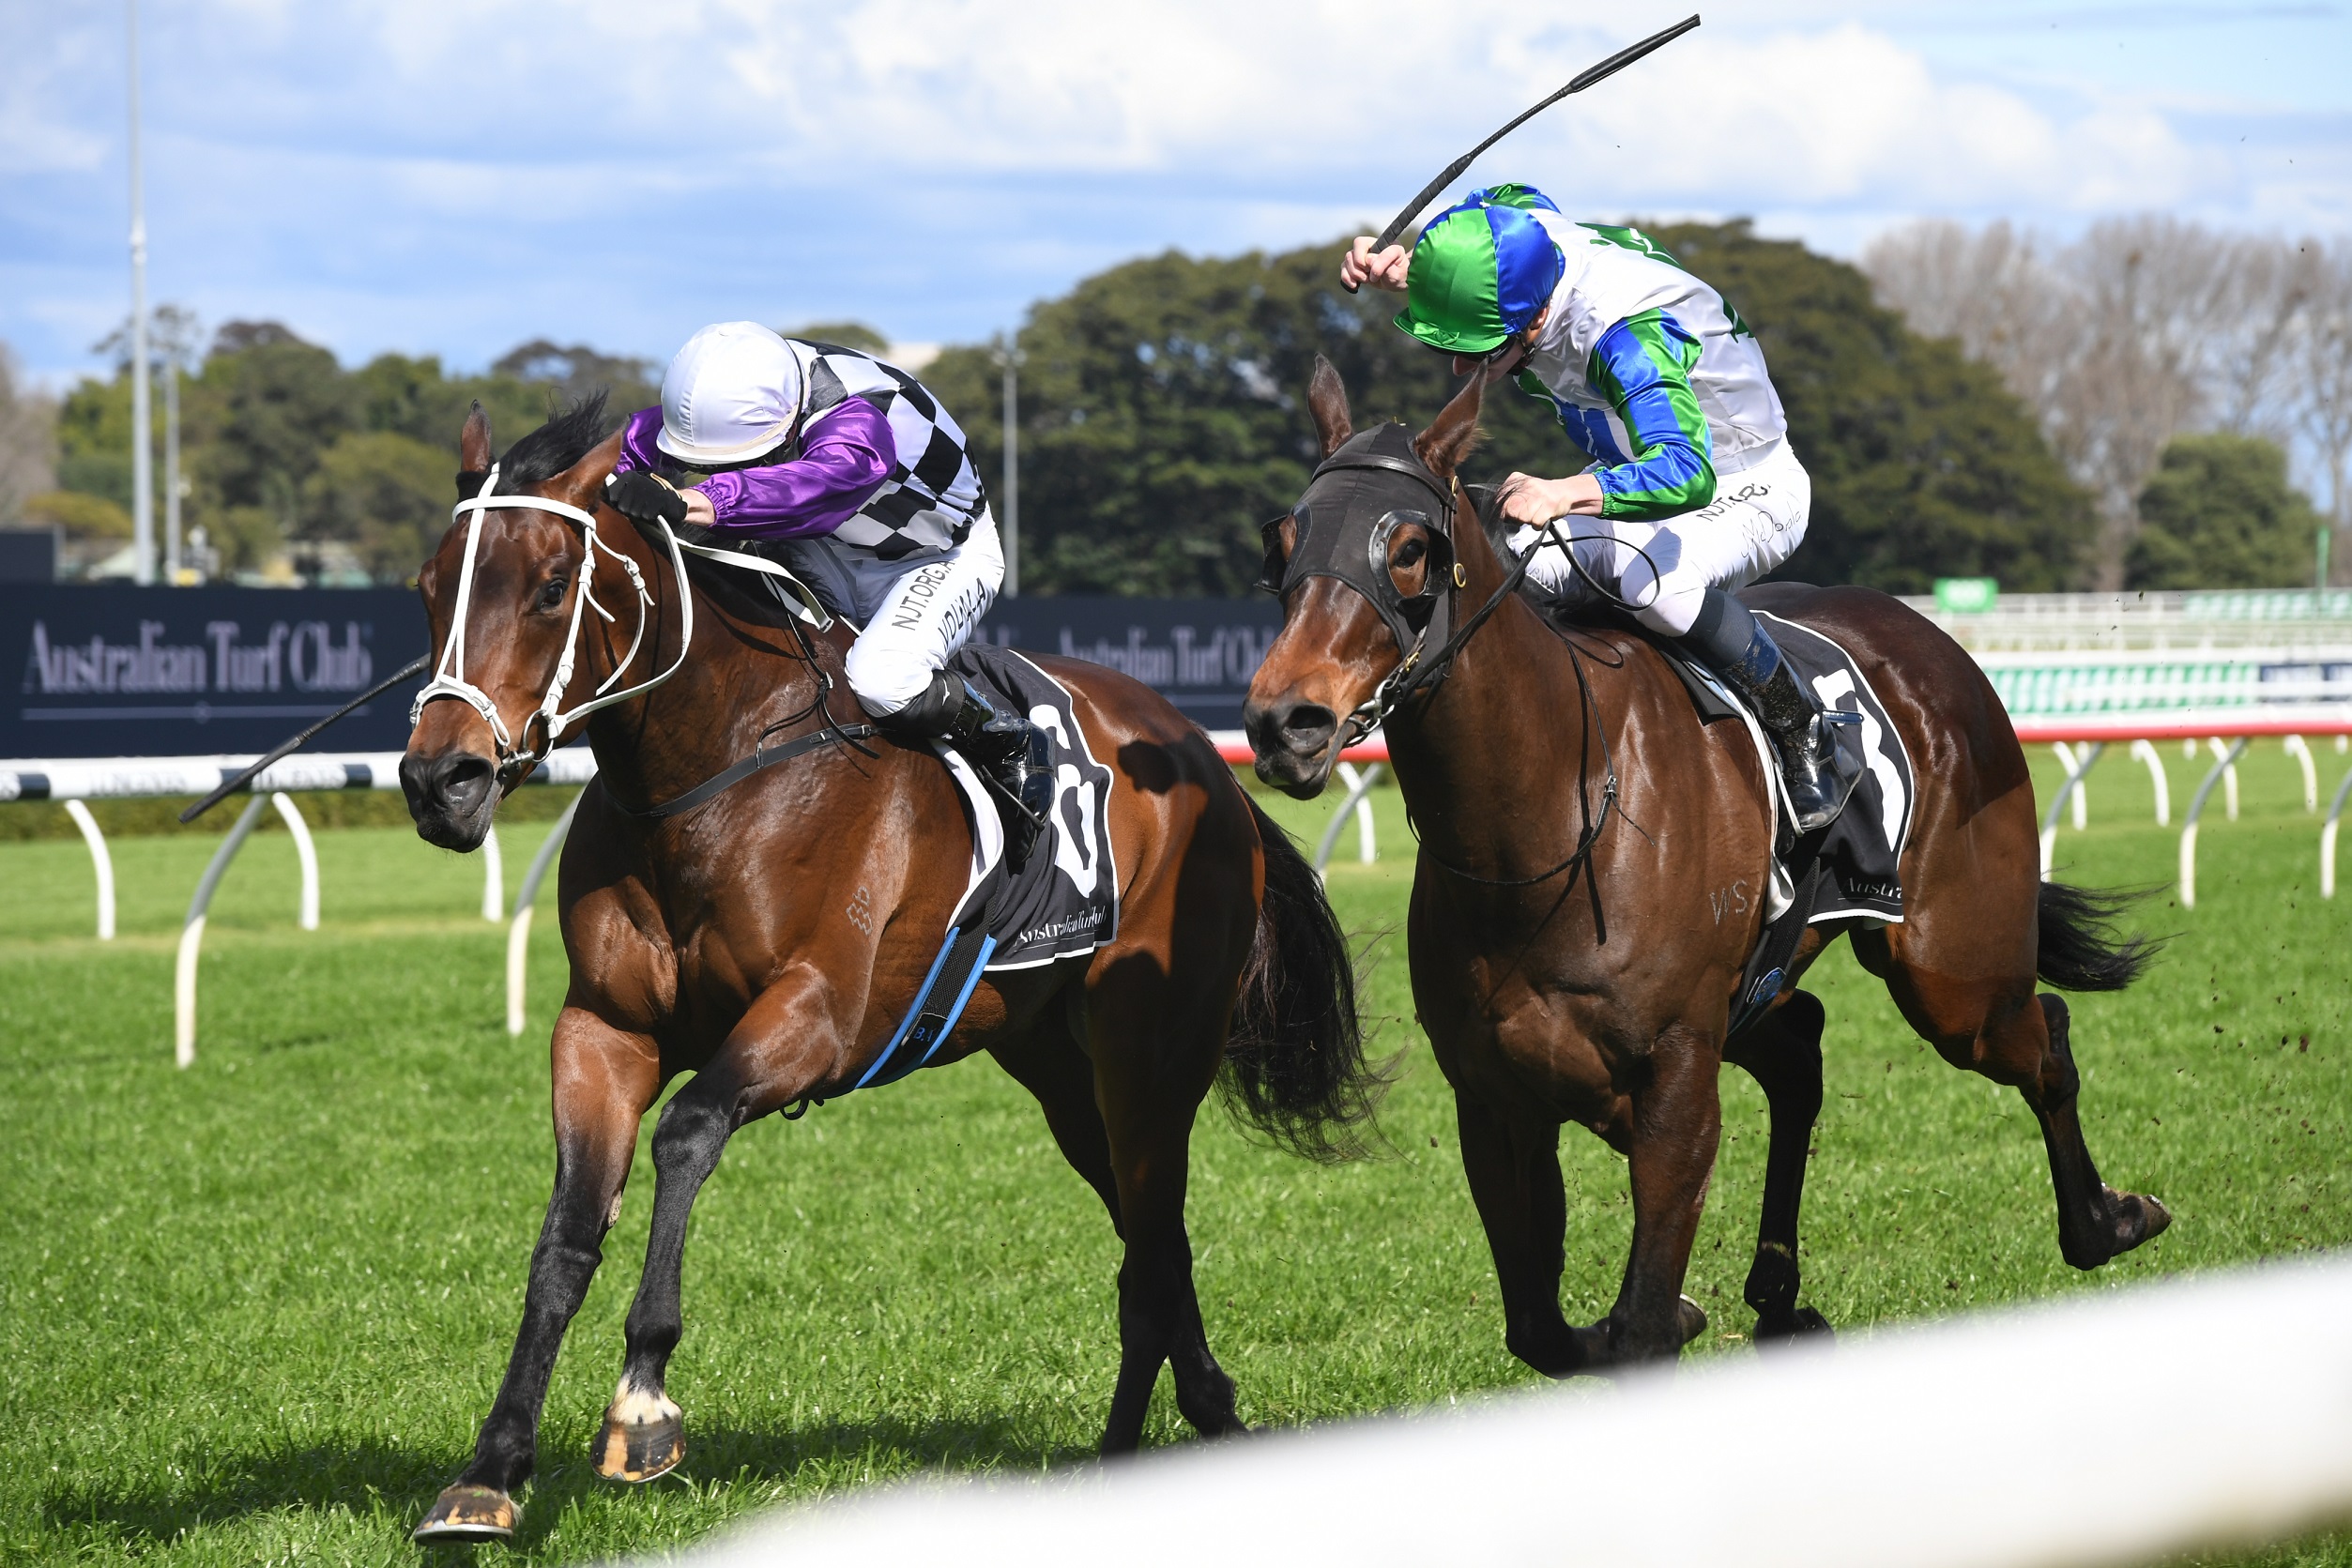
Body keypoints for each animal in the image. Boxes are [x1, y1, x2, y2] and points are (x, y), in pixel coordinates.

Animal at [397, 396, 1383, 1541]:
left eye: (552, 586)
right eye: (430, 587)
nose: (441, 780)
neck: (710, 771)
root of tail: (1208, 766)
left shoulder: (822, 1016)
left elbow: (688, 1130)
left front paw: (643, 1400)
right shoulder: (604, 1028)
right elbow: (563, 1236)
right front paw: (489, 1472)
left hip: (1152, 1055)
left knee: (1155, 1239)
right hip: (1061, 1071)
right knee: (1149, 1235)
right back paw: (1182, 1425)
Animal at [1244, 358, 2168, 1375]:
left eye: (1408, 548)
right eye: (1279, 542)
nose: (1285, 722)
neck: (1548, 829)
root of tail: (1933, 642)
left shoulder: (1676, 1079)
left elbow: (1641, 1321)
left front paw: (1667, 1313)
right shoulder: (1494, 1102)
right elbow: (1543, 1330)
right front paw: (1681, 1313)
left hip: (1951, 974)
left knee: (2040, 1034)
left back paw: (2107, 1220)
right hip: (1771, 989)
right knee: (1802, 1049)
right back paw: (1779, 1296)